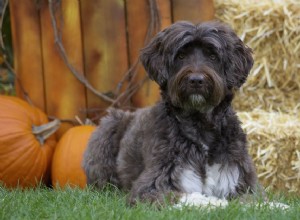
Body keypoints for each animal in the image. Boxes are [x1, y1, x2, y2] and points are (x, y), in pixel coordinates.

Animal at [83, 20, 258, 206]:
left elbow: (252, 200)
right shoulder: (152, 185)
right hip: (109, 127)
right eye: (181, 56)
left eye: (212, 56)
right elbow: (192, 197)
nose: (196, 80)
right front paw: (218, 204)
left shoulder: (244, 183)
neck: (200, 124)